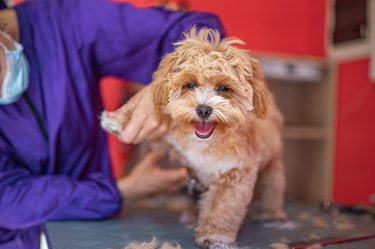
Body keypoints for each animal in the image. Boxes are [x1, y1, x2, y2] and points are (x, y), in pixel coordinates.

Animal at [101, 27, 286, 249]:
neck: (204, 142)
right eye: (190, 84)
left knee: (272, 186)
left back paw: (270, 212)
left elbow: (222, 207)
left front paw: (214, 236)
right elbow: (165, 115)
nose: (203, 109)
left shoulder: (235, 173)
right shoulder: (174, 140)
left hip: (272, 165)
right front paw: (119, 121)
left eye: (224, 88)